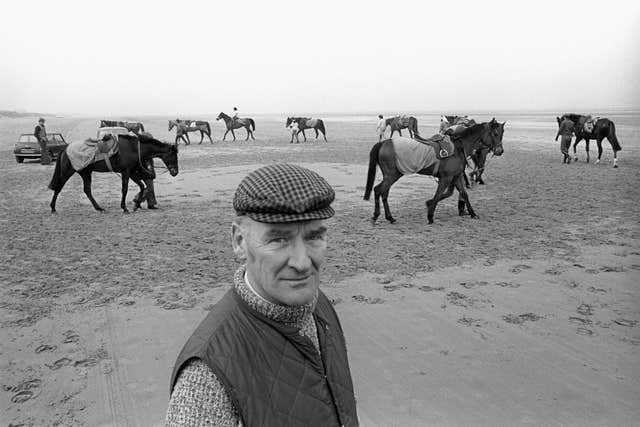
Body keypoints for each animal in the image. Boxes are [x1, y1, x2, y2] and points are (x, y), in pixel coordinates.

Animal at [48, 132, 179, 212]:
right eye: (173, 156)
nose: (175, 172)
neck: (134, 148)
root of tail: (66, 148)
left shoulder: (132, 172)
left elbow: (142, 187)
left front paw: (136, 204)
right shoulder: (126, 172)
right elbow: (125, 189)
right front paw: (125, 208)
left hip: (86, 173)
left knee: (87, 190)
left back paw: (99, 208)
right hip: (68, 172)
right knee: (59, 187)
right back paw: (53, 208)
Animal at [362, 118, 502, 224]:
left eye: (502, 133)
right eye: (495, 133)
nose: (500, 150)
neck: (458, 148)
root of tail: (384, 143)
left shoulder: (456, 176)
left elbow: (464, 194)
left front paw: (473, 213)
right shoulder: (446, 178)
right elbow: (438, 194)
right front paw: (430, 215)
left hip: (389, 176)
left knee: (383, 192)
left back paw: (388, 217)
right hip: (392, 175)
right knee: (378, 190)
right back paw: (378, 215)